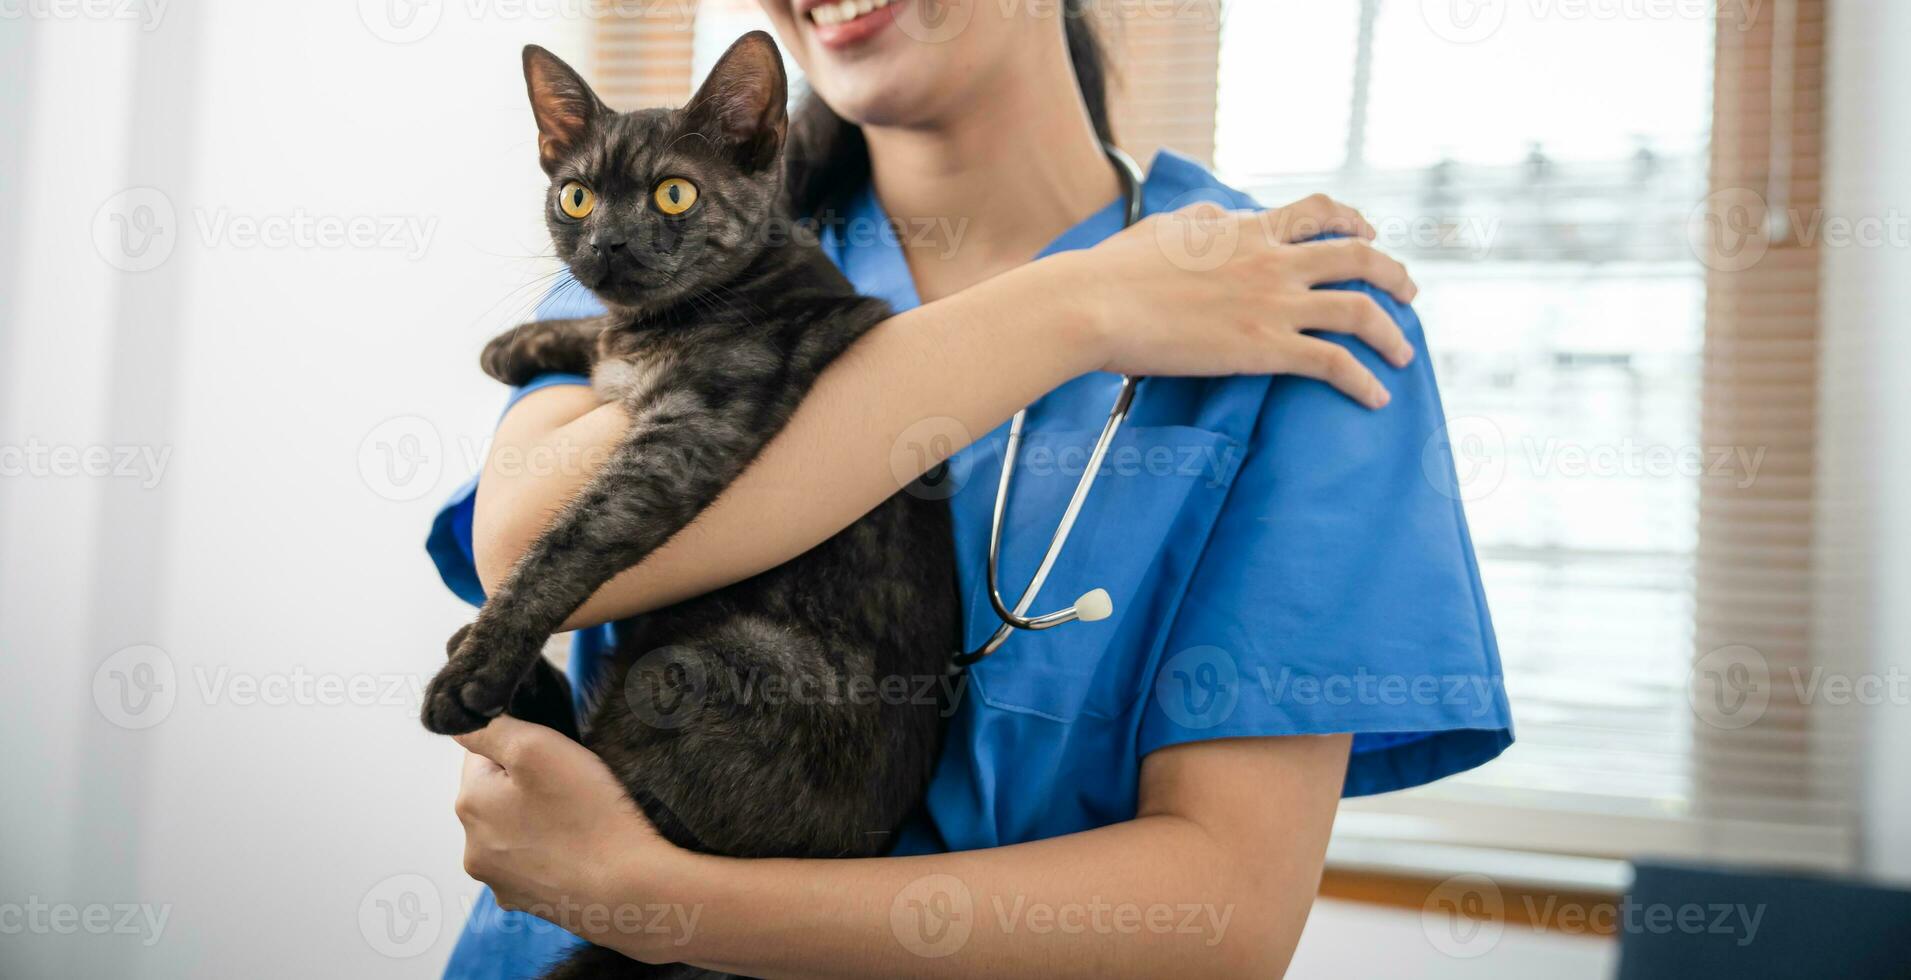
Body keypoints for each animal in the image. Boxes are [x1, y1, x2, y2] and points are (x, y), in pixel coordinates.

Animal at [418, 30, 955, 978]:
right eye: (576, 195)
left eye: (674, 193)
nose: (608, 244)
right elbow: (597, 340)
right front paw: (522, 343)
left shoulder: (681, 439)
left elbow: (565, 541)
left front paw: (480, 662)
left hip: (695, 668)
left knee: (618, 794)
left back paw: (513, 690)